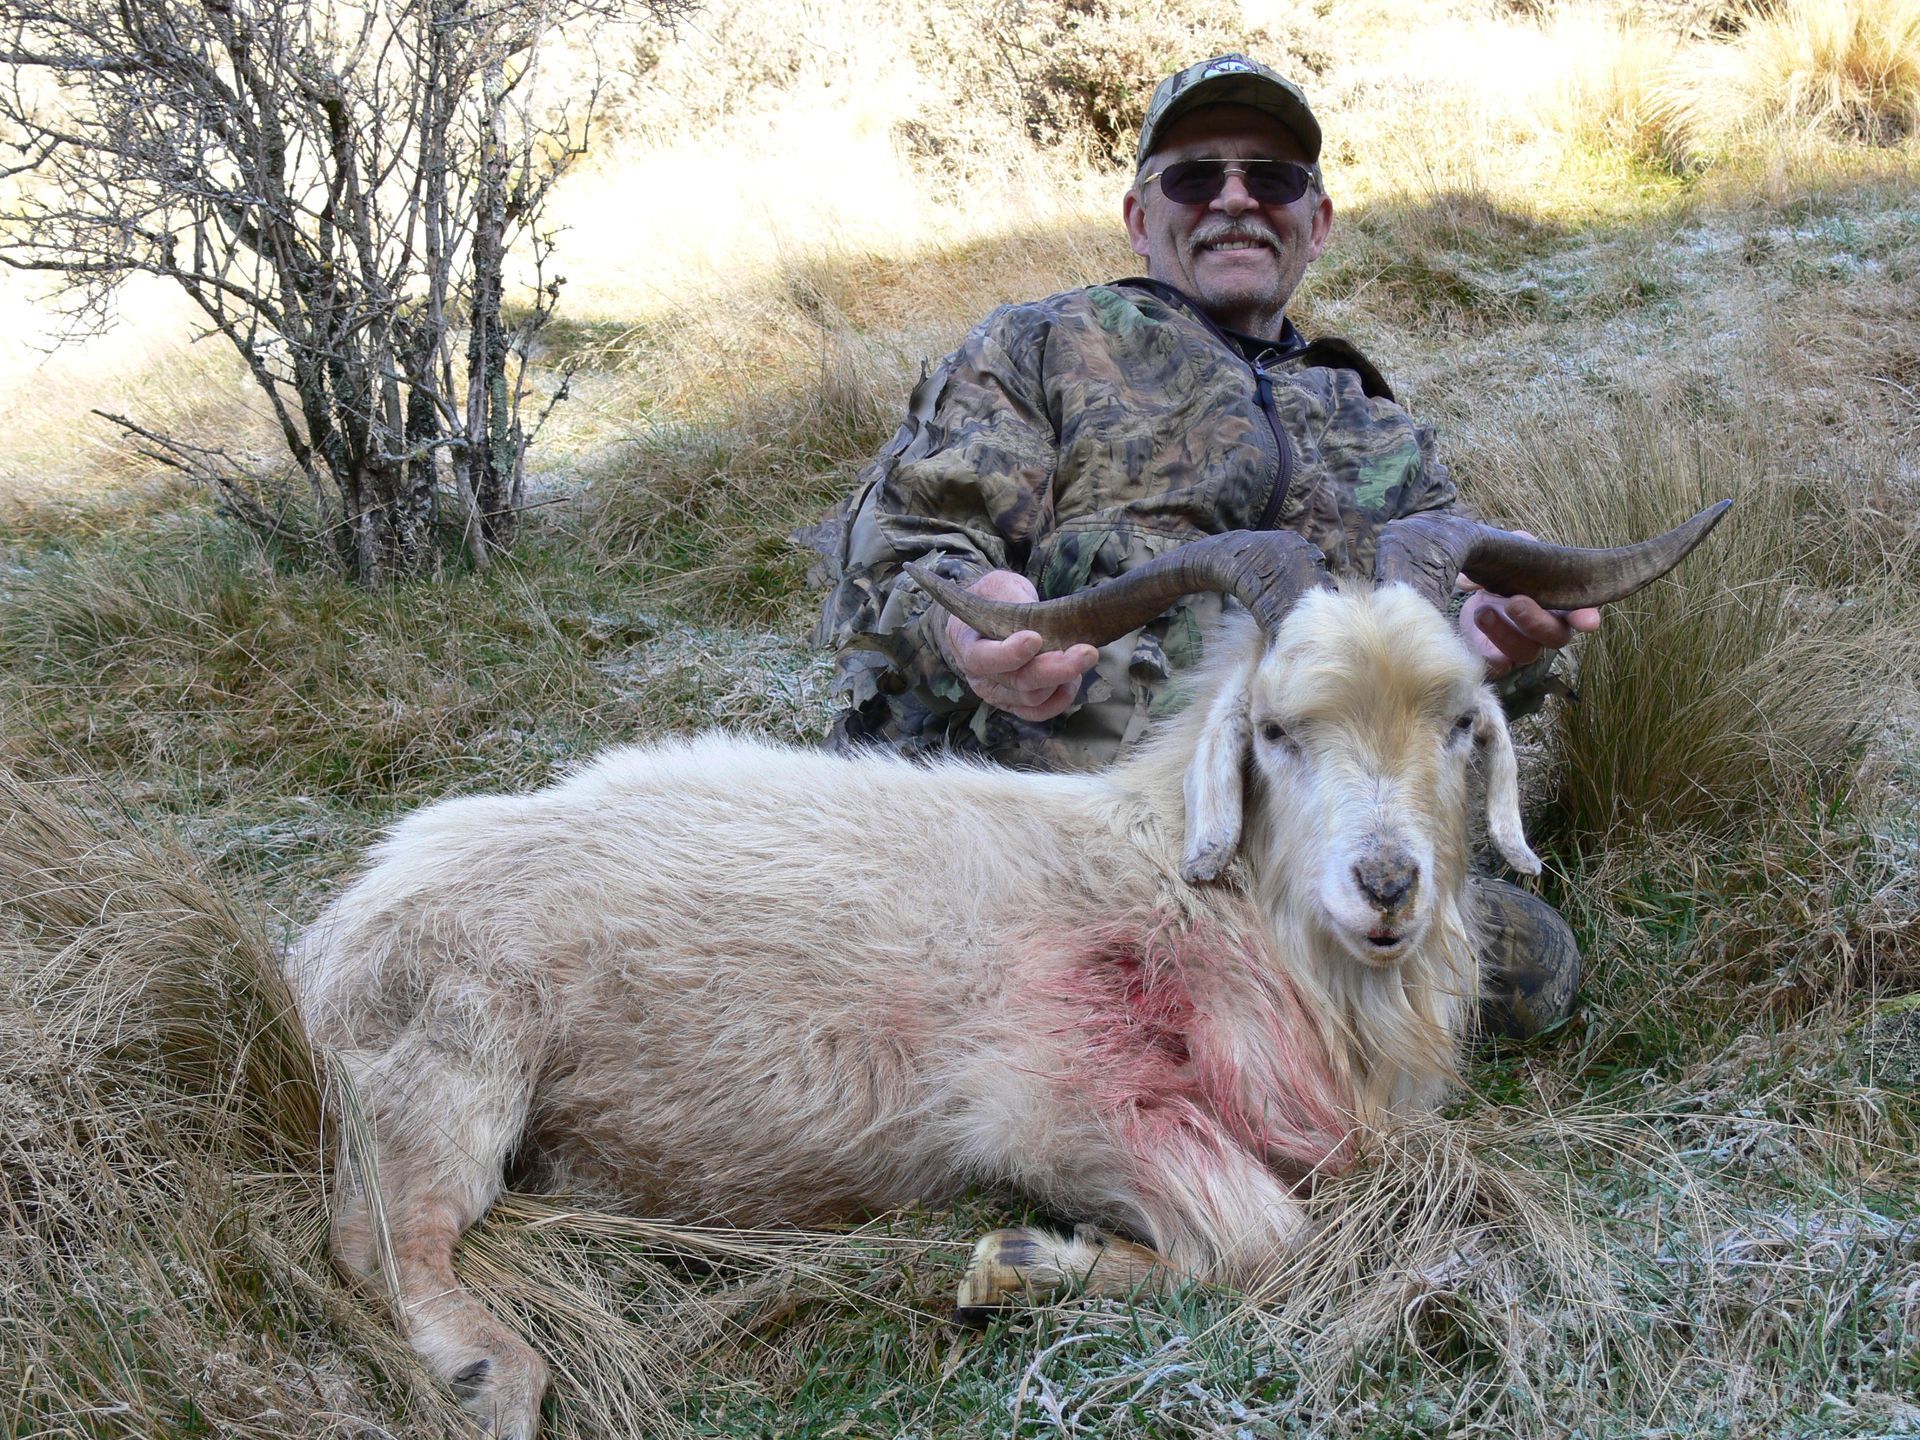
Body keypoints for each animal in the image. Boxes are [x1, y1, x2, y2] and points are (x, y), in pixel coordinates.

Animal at [290, 505, 1728, 1439]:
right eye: (1277, 730)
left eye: (1462, 720)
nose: (1386, 887)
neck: (1176, 886)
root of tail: (337, 930)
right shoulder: (1052, 1100)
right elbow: (1265, 1238)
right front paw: (1019, 1258)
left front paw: (1029, 1262)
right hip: (449, 1062)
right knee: (380, 1237)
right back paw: (491, 1376)